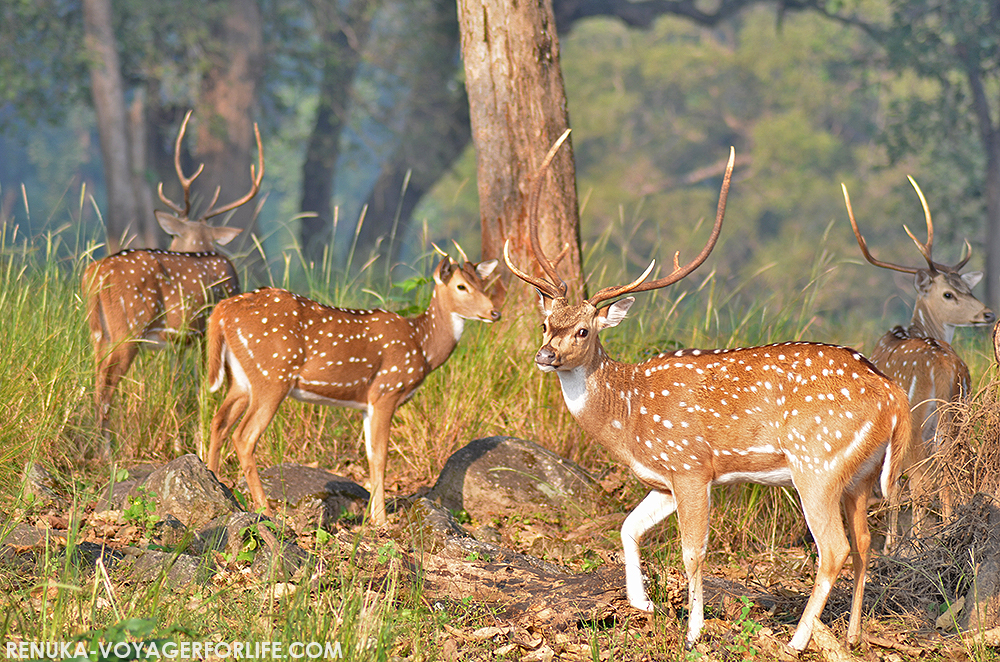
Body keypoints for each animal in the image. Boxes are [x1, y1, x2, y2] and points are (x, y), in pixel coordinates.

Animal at [82, 110, 262, 452]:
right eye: (172, 236)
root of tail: (96, 274)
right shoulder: (205, 332)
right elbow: (203, 389)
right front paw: (198, 441)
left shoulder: (179, 340)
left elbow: (178, 383)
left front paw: (181, 440)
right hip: (129, 325)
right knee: (107, 380)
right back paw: (104, 449)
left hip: (99, 330)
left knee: (96, 374)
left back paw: (90, 443)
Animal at [204, 248, 500, 524]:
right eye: (461, 286)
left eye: (483, 283)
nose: (494, 312)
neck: (422, 346)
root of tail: (221, 311)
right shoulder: (386, 390)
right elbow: (381, 455)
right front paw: (381, 520)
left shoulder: (367, 404)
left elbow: (369, 454)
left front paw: (374, 516)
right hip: (272, 374)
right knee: (244, 435)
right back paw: (265, 510)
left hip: (241, 379)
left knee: (219, 421)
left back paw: (215, 485)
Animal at [508, 140, 916, 652]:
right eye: (546, 323)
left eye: (583, 330)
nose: (545, 355)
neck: (629, 417)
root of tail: (894, 395)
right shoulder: (664, 478)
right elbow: (627, 526)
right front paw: (642, 603)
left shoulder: (690, 465)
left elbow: (693, 551)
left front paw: (692, 632)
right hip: (858, 474)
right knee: (863, 545)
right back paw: (855, 634)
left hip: (817, 461)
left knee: (834, 548)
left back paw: (797, 640)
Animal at [844, 179, 992, 544]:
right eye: (949, 293)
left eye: (967, 289)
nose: (987, 313)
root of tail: (947, 369)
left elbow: (893, 485)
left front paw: (892, 545)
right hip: (956, 415)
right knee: (947, 470)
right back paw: (947, 530)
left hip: (917, 418)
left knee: (919, 480)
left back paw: (912, 542)